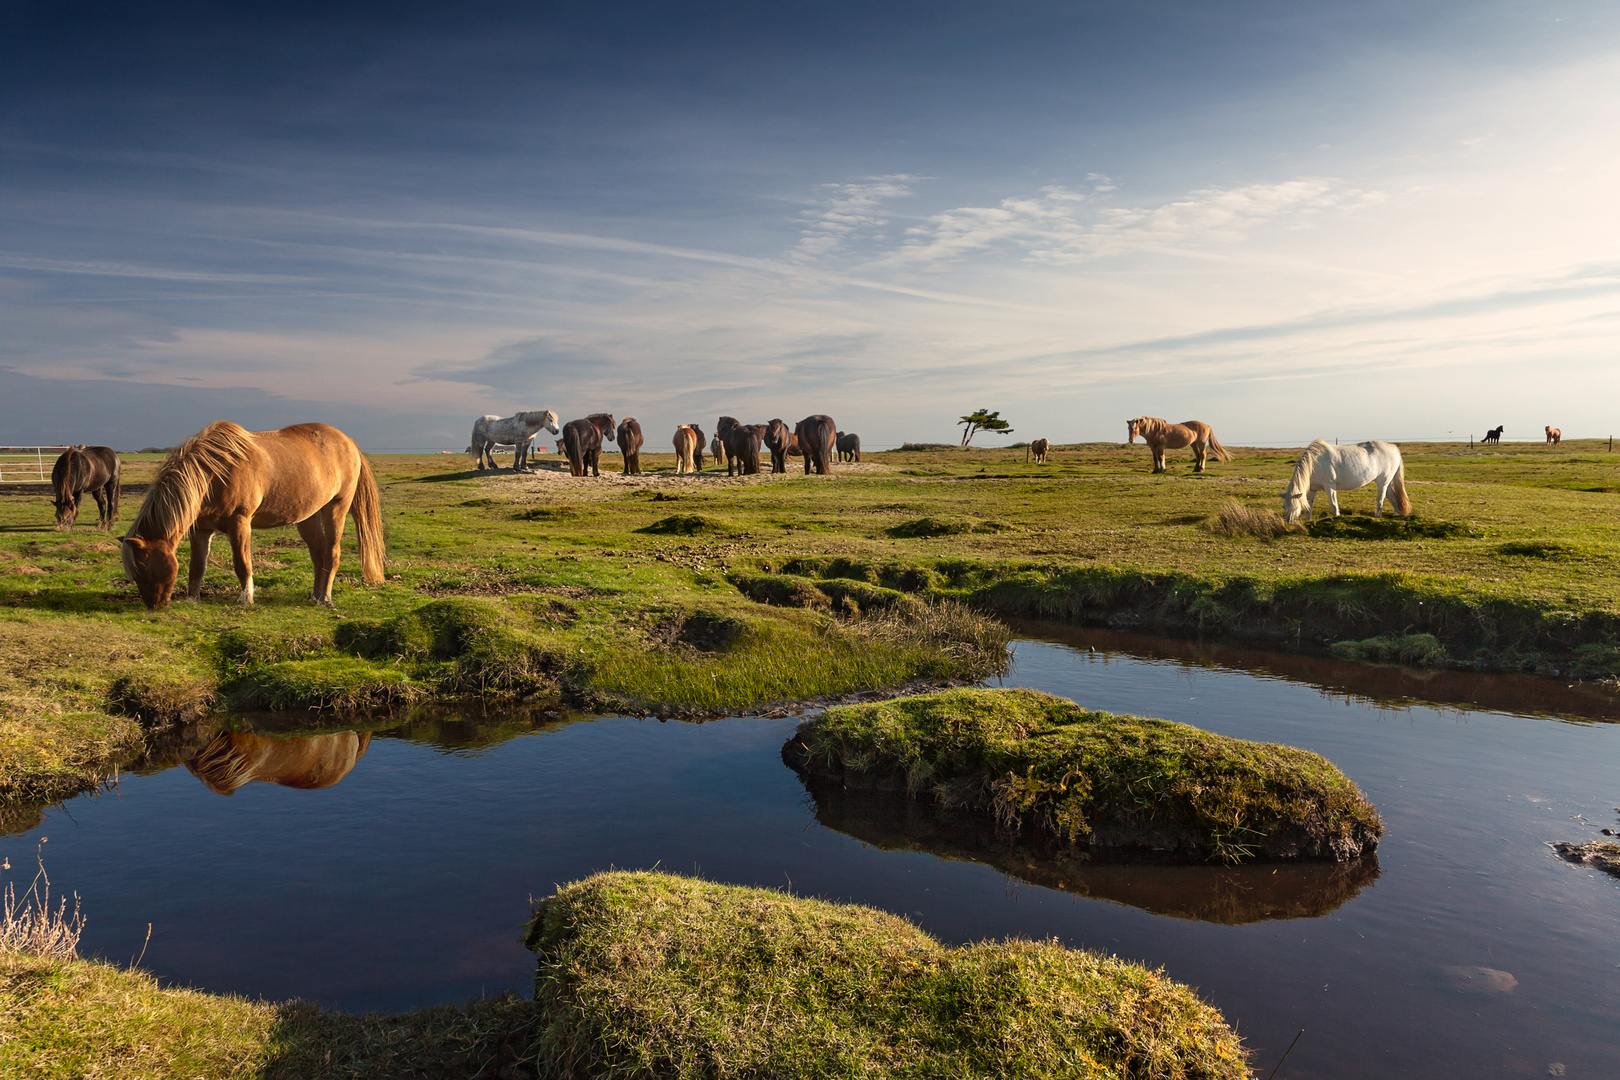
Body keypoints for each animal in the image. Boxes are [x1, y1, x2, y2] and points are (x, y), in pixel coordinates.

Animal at [120, 420, 385, 612]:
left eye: (143, 567)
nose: (153, 606)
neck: (214, 473)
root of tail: (348, 441)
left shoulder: (240, 522)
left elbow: (242, 563)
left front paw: (246, 598)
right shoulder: (201, 529)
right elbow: (197, 567)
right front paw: (193, 599)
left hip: (336, 508)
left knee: (332, 553)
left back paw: (325, 599)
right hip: (308, 517)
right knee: (318, 555)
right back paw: (314, 595)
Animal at [1276, 440, 1406, 524]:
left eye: (1295, 506)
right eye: (1284, 506)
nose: (1288, 522)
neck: (1314, 463)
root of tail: (1393, 447)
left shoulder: (1330, 486)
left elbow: (1334, 505)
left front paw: (1337, 519)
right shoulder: (1313, 489)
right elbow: (1309, 506)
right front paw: (1308, 521)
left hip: (1382, 482)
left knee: (1381, 499)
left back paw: (1378, 516)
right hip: (1387, 483)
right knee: (1393, 498)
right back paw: (1397, 515)